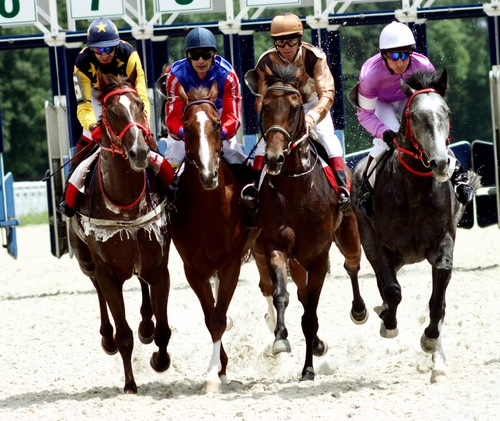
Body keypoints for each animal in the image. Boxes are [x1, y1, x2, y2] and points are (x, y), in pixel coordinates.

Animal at [68, 69, 171, 394]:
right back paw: (107, 338)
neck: (126, 204)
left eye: (139, 104)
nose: (139, 151)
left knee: (141, 285)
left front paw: (159, 359)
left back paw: (146, 326)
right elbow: (124, 334)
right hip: (86, 261)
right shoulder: (107, 272)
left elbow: (164, 329)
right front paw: (129, 384)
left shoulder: (159, 265)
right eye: (112, 112)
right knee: (98, 290)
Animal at [168, 83, 258, 392]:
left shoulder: (231, 263)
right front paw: (218, 370)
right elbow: (211, 317)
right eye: (186, 127)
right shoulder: (193, 269)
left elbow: (219, 318)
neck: (209, 210)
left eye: (217, 124)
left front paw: (213, 375)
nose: (208, 176)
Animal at [250, 63, 368, 380]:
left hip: (348, 235)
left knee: (352, 265)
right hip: (297, 261)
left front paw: (308, 369)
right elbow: (284, 295)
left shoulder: (318, 257)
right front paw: (281, 339)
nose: (274, 158)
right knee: (301, 295)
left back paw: (359, 310)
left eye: (294, 108)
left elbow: (311, 315)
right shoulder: (277, 248)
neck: (296, 187)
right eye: (265, 107)